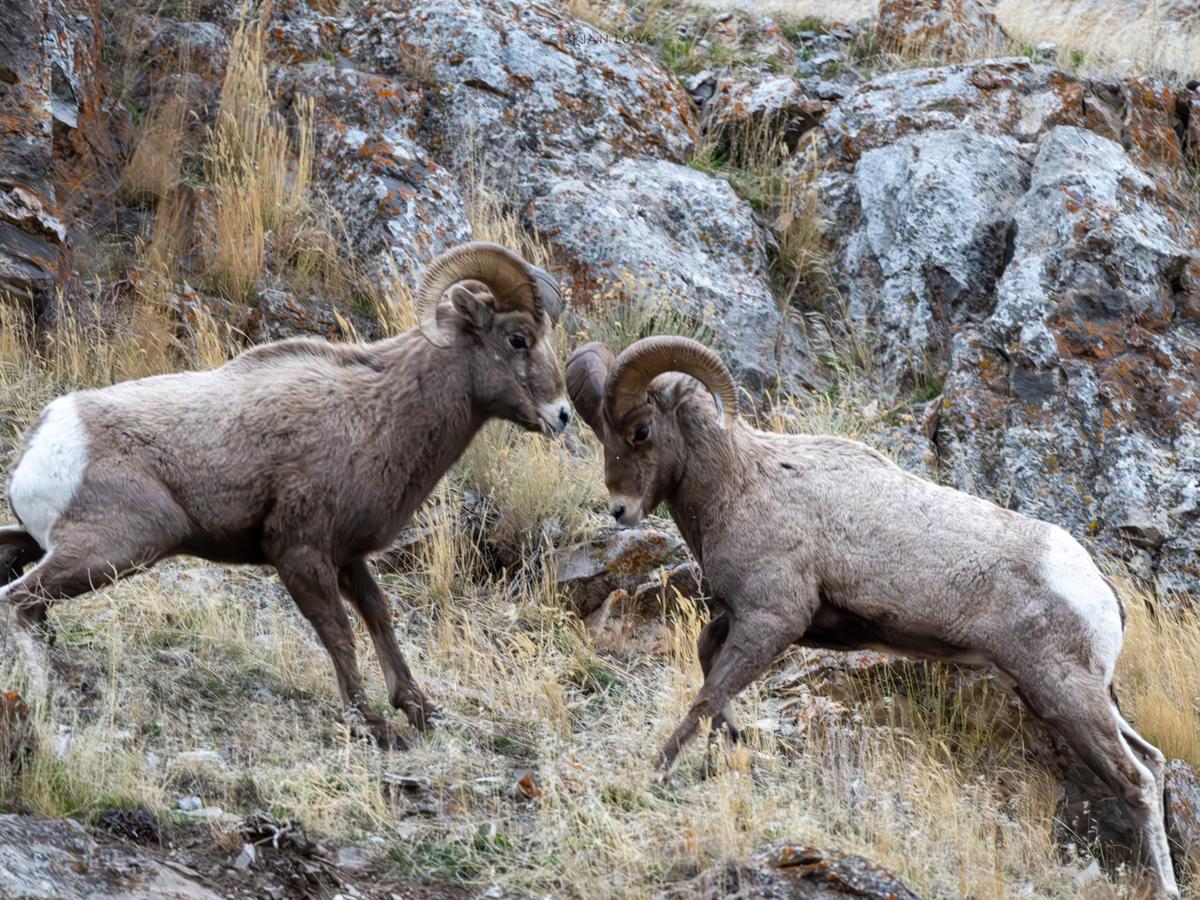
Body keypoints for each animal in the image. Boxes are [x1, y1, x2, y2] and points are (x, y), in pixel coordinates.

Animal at [0, 241, 572, 750]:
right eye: (517, 339)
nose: (562, 415)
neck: (377, 414)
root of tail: (47, 438)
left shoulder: (347, 558)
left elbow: (379, 618)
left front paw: (419, 709)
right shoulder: (300, 554)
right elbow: (339, 633)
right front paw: (374, 727)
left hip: (52, 542)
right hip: (127, 545)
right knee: (20, 600)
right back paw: (48, 690)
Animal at [566, 334, 1179, 898]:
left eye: (640, 431)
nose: (619, 510)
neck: (741, 483)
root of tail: (1100, 592)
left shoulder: (773, 620)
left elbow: (706, 695)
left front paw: (659, 771)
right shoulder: (744, 618)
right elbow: (707, 666)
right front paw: (727, 747)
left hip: (1063, 694)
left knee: (1137, 781)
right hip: (1074, 694)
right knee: (1153, 762)